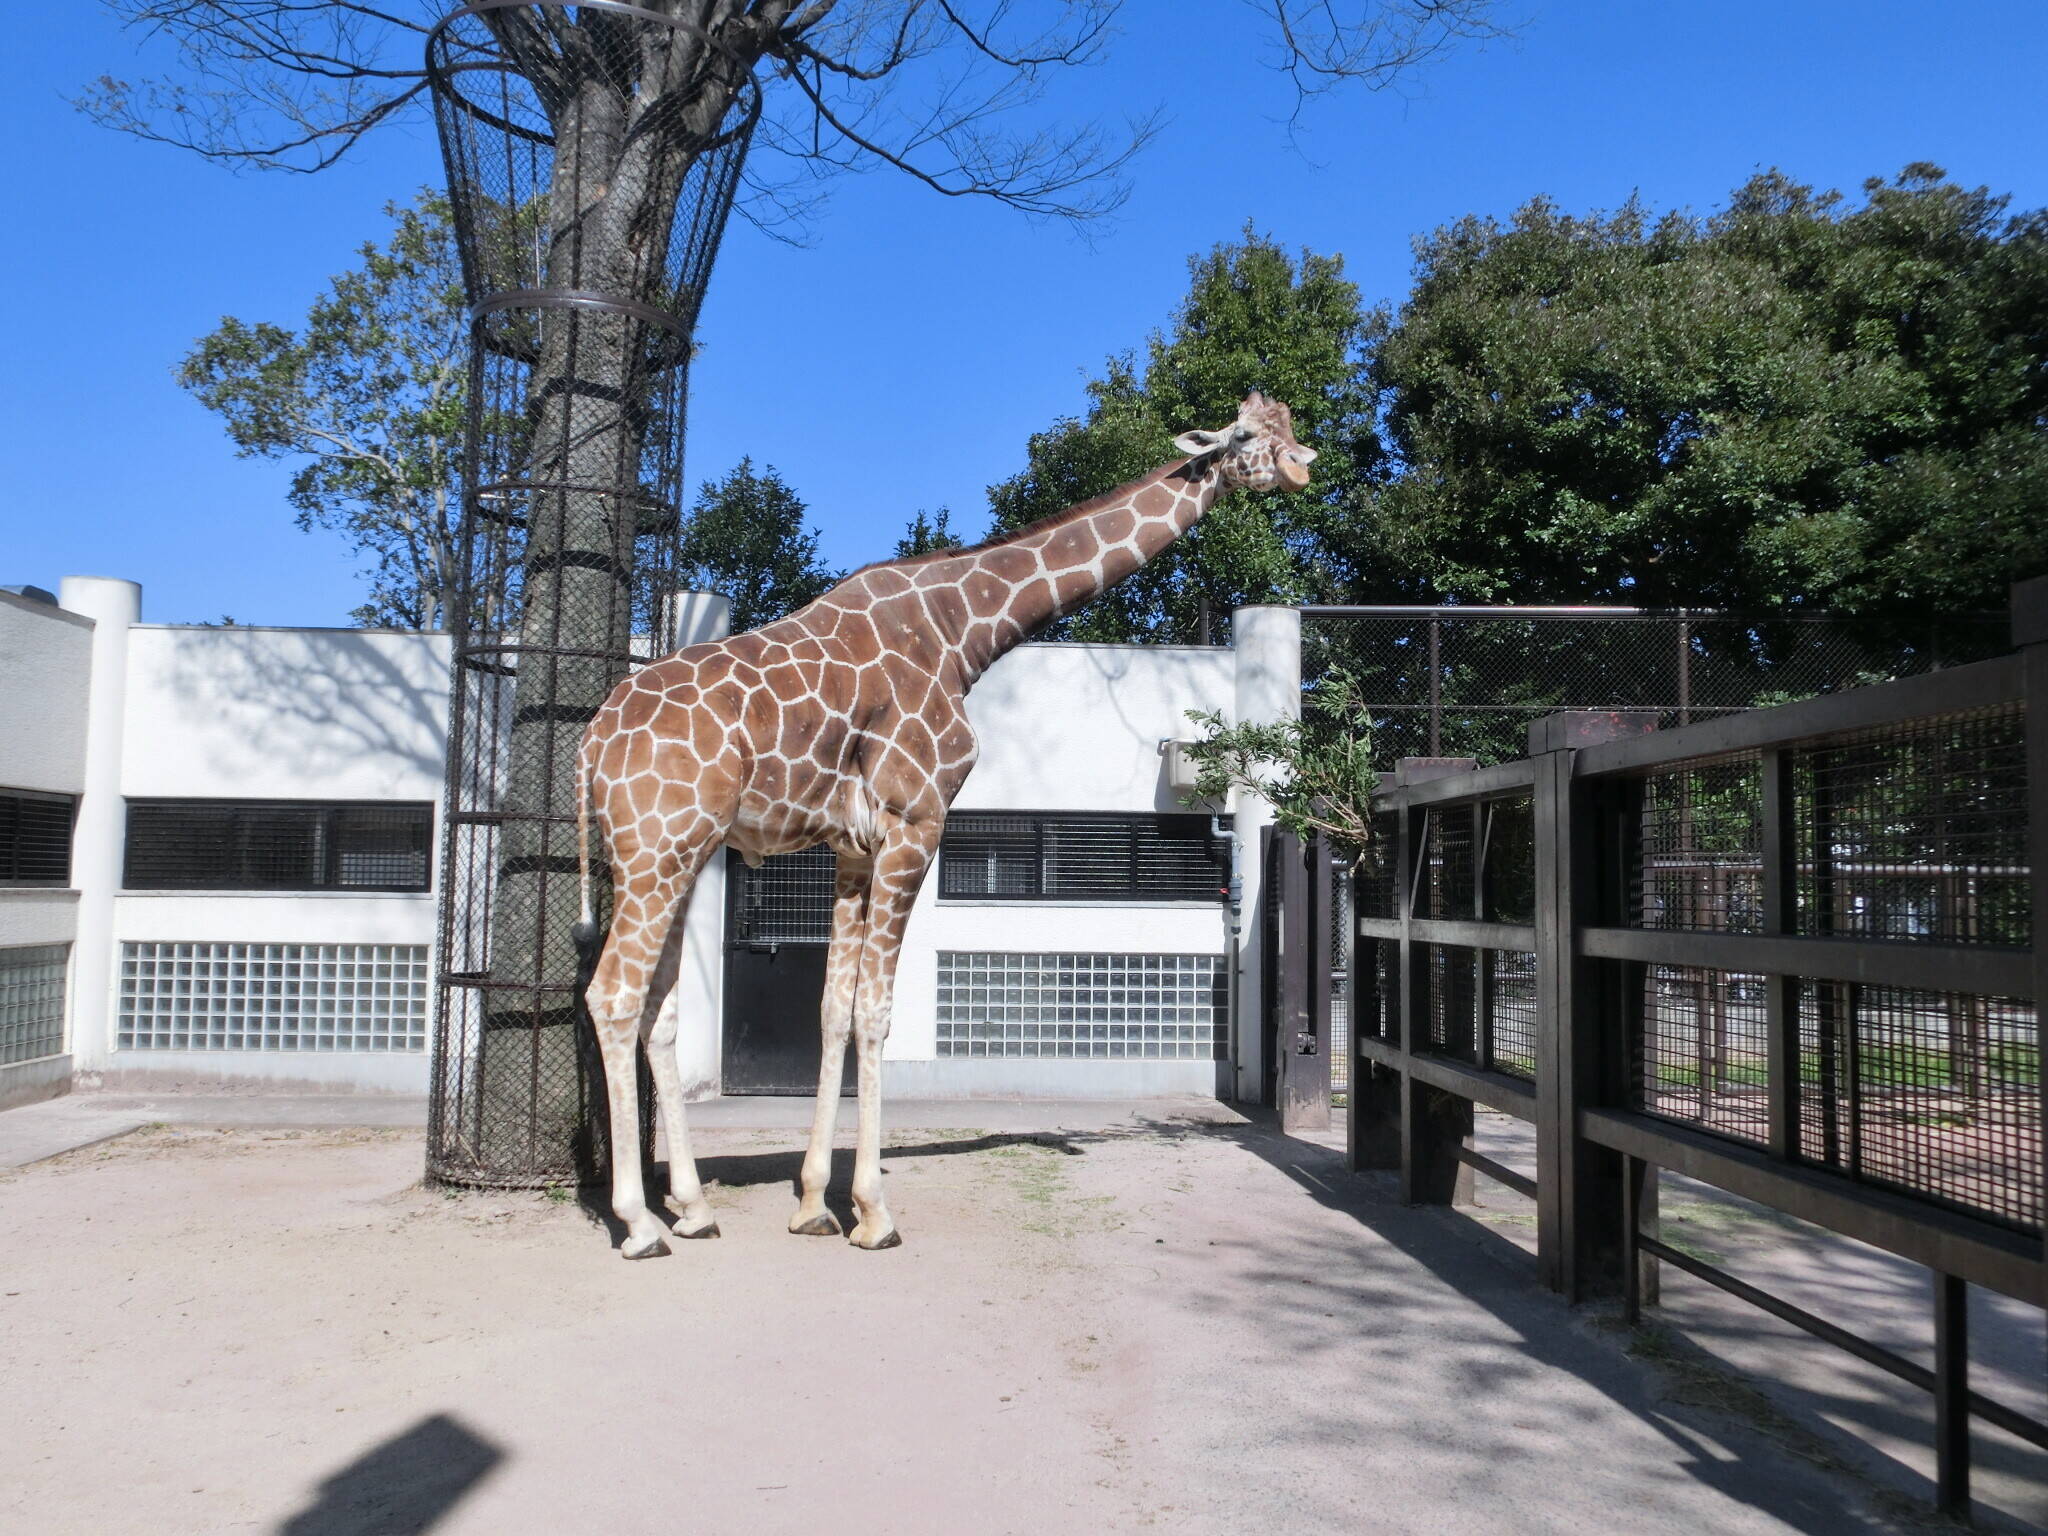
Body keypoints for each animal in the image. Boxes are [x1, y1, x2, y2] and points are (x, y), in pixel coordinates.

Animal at [577, 391, 1310, 1253]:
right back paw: (638, 1222)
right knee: (612, 996)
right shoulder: (916, 820)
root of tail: (592, 741)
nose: (1304, 466)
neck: (966, 629)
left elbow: (833, 1010)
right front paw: (873, 1213)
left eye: (1287, 428)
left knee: (658, 1009)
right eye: (1248, 435)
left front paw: (812, 1202)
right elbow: (876, 1013)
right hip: (658, 847)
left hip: (675, 855)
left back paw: (691, 1208)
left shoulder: (853, 848)